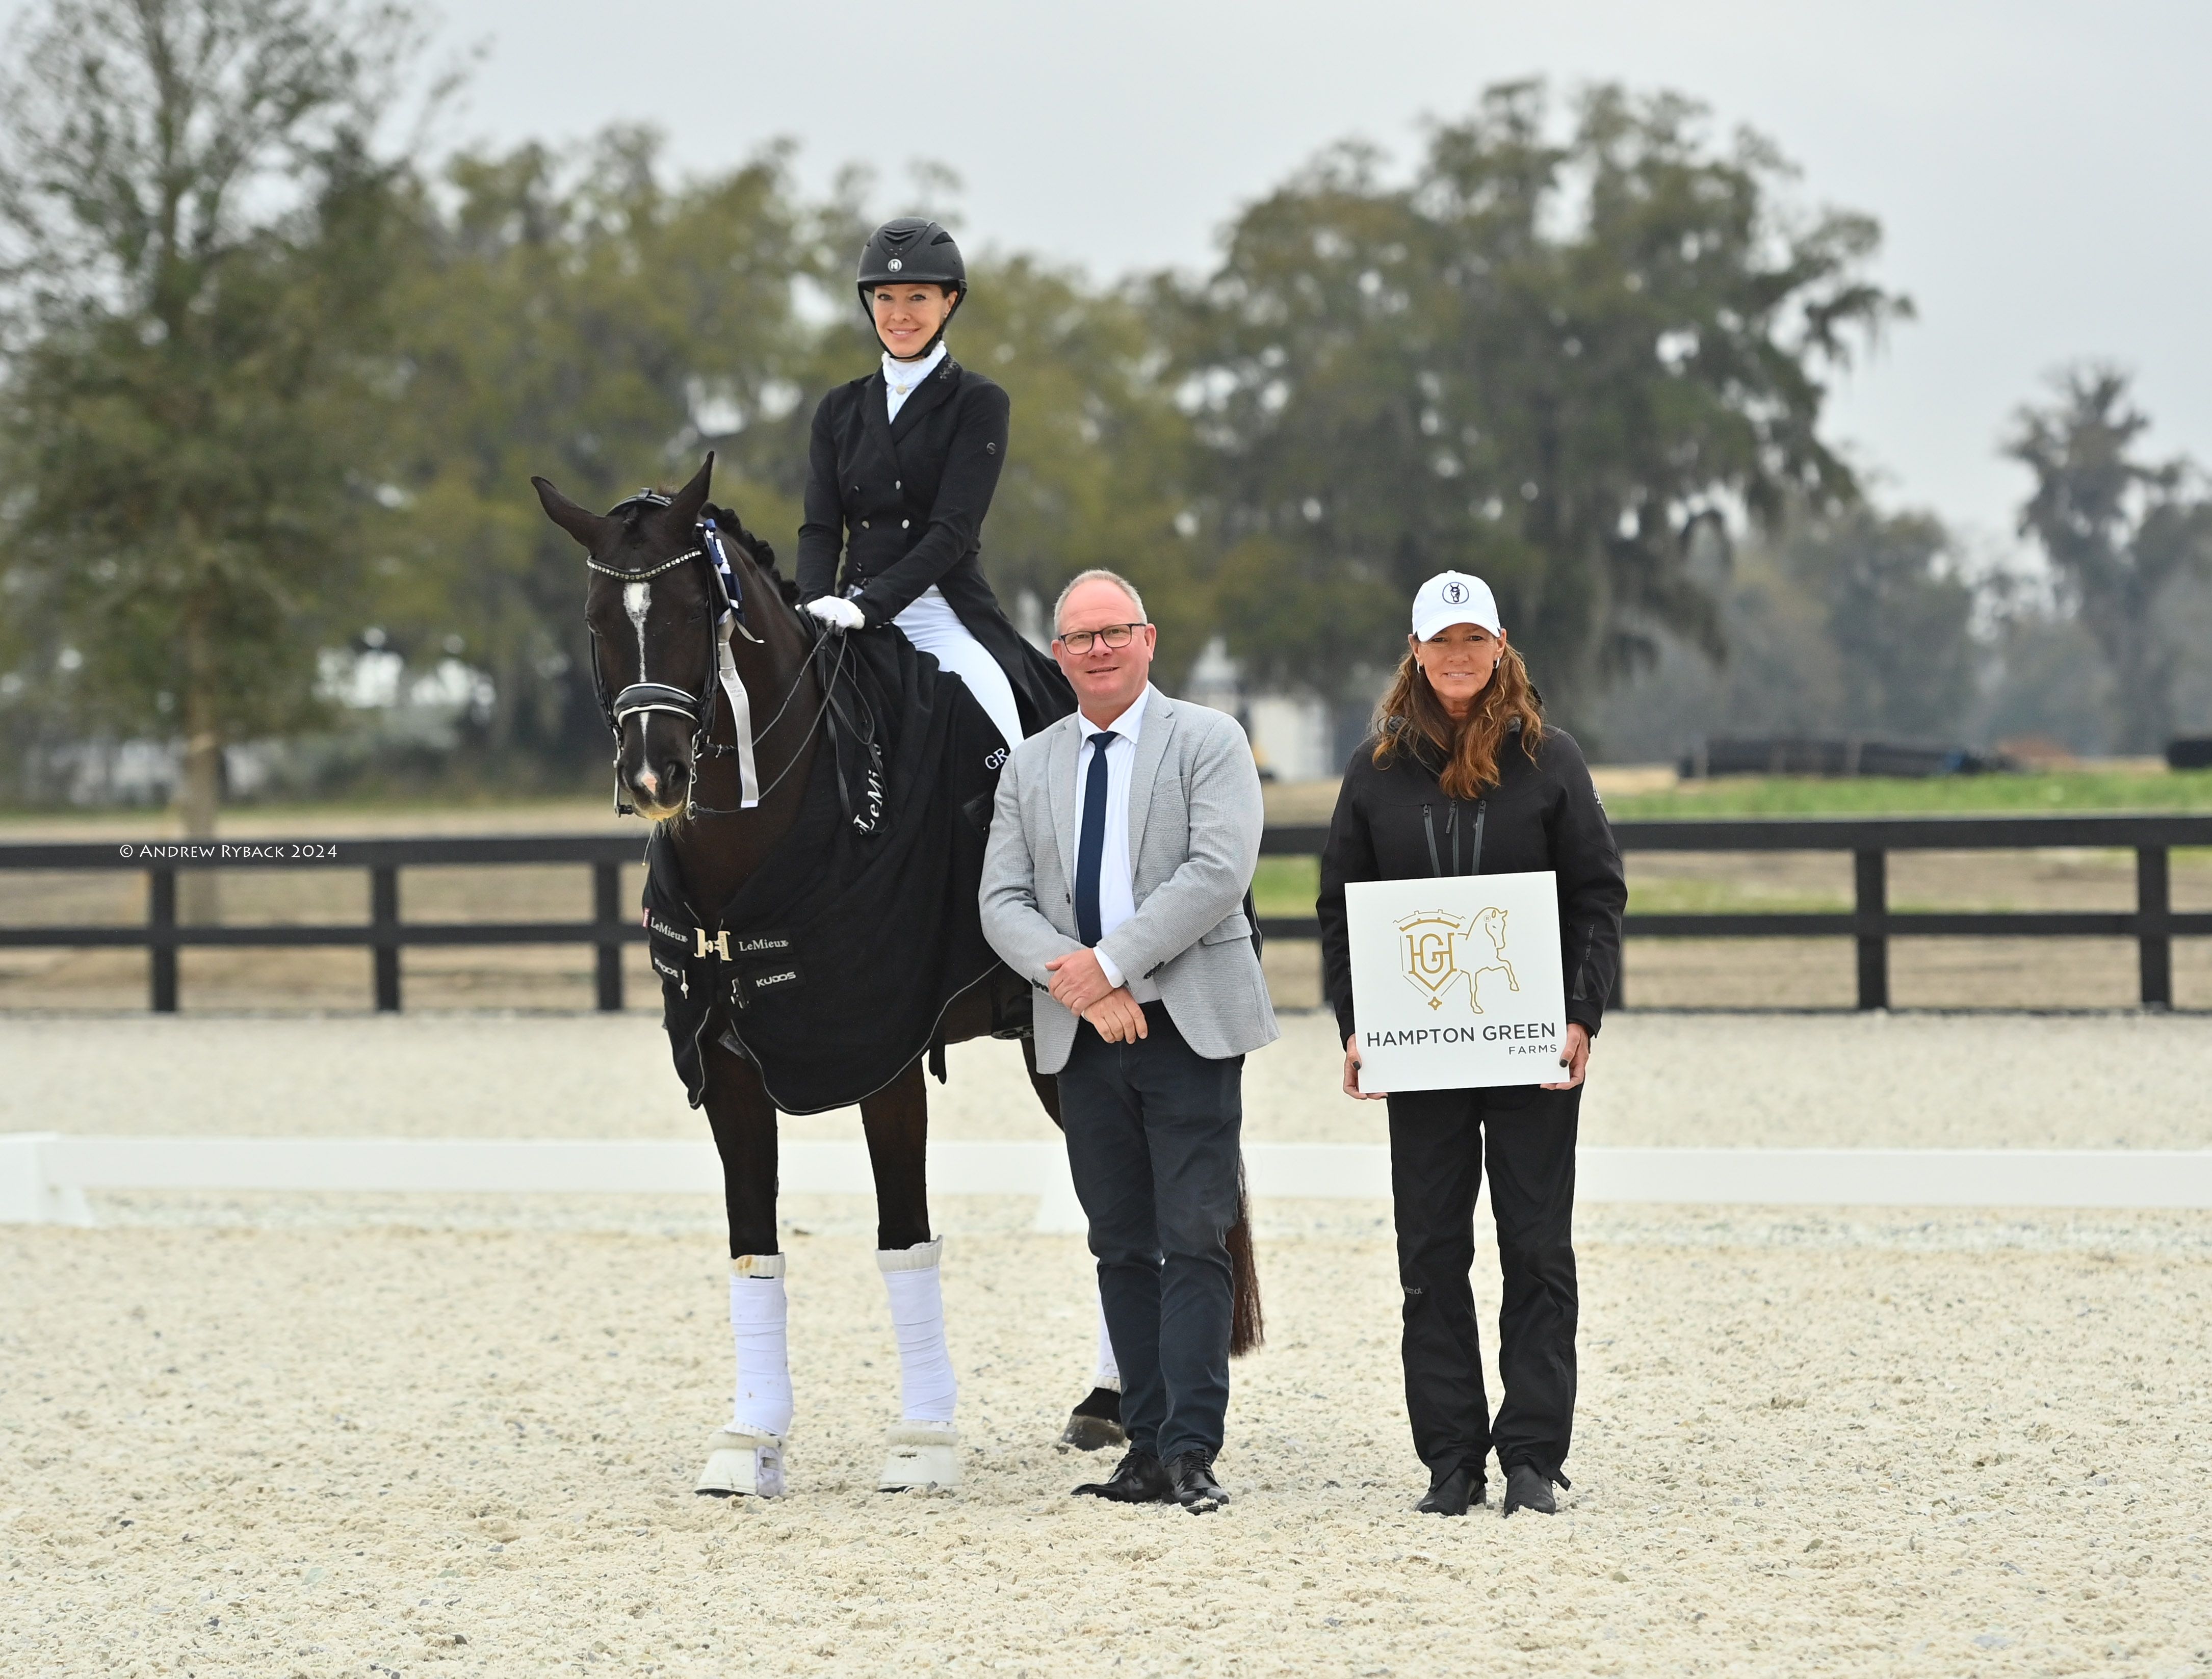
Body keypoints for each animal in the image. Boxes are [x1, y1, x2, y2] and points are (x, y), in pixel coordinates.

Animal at [532, 454, 1261, 1498]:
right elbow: (753, 1247)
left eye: (691, 609)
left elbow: (903, 1237)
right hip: (1058, 1051)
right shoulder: (729, 1065)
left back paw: (1118, 1406)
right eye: (596, 618)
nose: (654, 778)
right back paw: (1109, 1402)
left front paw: (922, 1437)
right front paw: (749, 1438)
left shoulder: (885, 1057)